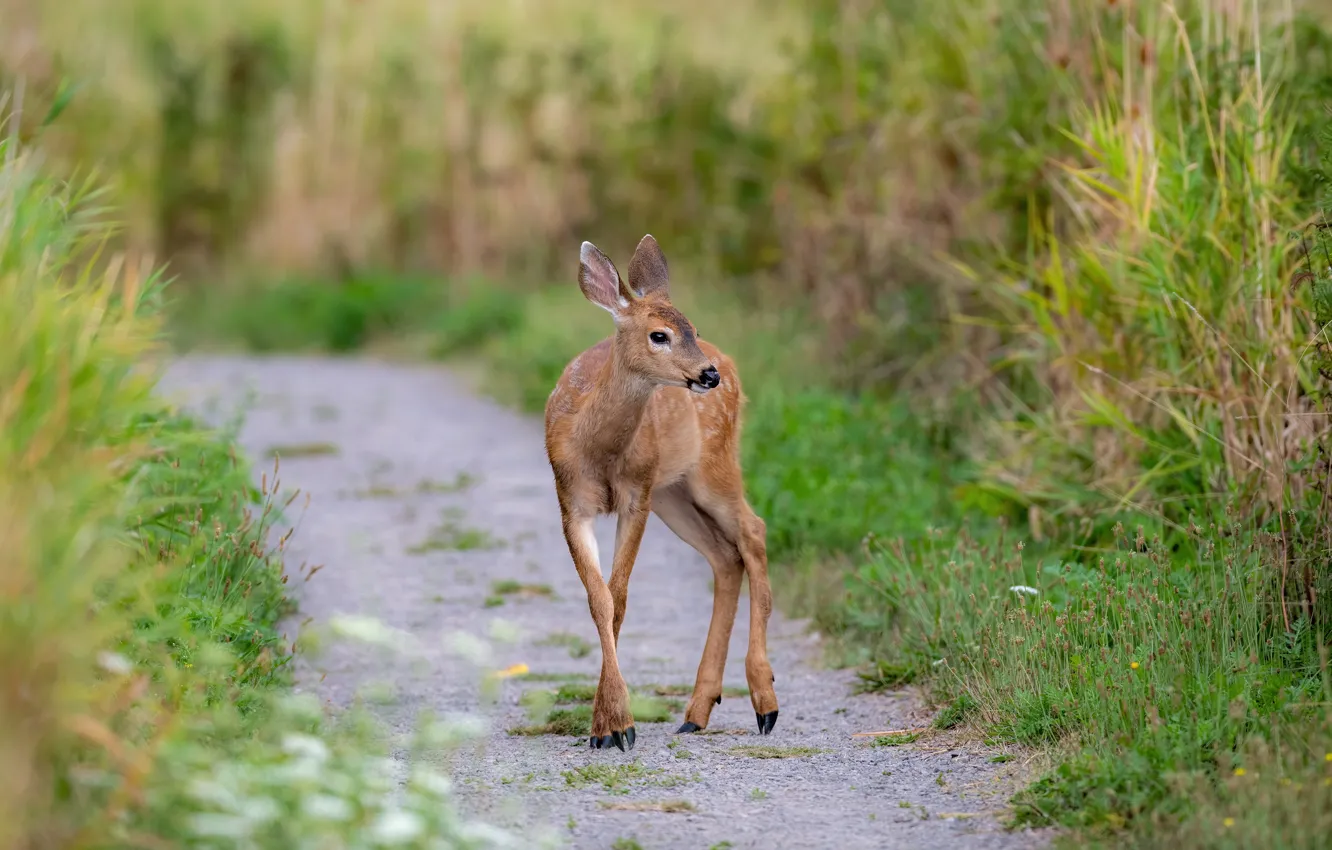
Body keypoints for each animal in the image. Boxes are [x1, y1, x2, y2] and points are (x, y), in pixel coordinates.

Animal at [544, 234, 779, 752]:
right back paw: (697, 711)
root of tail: (730, 362)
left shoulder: (637, 496)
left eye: (692, 328)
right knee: (725, 556)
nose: (707, 375)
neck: (600, 452)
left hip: (710, 468)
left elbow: (618, 596)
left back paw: (765, 701)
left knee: (753, 532)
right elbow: (599, 600)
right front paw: (607, 725)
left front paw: (615, 724)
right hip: (674, 494)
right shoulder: (571, 502)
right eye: (659, 335)